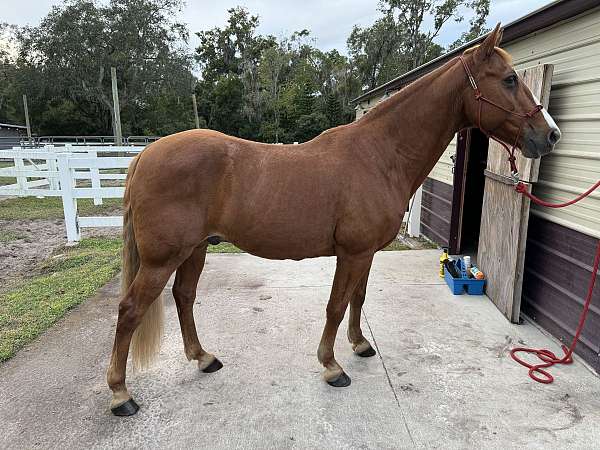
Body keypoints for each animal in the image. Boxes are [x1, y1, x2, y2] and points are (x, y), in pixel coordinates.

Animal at [106, 25, 556, 414]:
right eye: (510, 79)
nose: (550, 135)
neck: (380, 154)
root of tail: (146, 155)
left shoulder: (367, 253)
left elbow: (358, 299)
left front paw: (359, 345)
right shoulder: (352, 252)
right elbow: (336, 305)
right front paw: (332, 366)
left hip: (195, 249)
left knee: (184, 297)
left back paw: (203, 358)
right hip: (163, 258)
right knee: (130, 309)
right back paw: (121, 394)